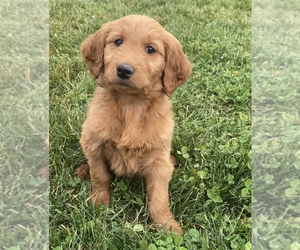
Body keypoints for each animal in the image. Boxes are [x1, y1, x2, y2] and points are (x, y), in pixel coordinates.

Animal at [75, 15, 192, 234]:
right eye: (118, 41)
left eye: (150, 49)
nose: (123, 69)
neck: (130, 104)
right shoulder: (94, 143)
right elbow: (100, 175)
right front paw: (99, 203)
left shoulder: (158, 160)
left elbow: (159, 198)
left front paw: (167, 226)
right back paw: (83, 170)